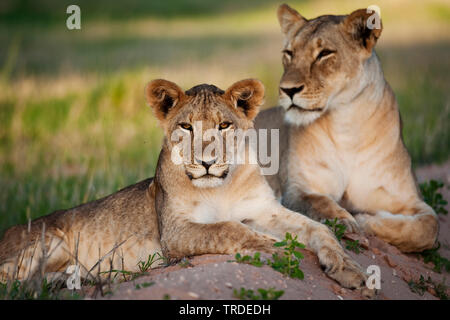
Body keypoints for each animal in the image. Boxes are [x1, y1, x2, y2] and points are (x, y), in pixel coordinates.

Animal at [0, 78, 370, 292]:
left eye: (223, 126)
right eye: (187, 127)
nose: (206, 161)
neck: (221, 187)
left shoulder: (263, 210)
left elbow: (320, 230)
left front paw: (351, 270)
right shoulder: (174, 232)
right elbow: (228, 228)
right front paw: (273, 247)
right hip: (48, 241)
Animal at [255, 3, 438, 251]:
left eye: (324, 54)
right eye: (289, 53)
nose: (287, 90)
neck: (347, 126)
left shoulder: (411, 199)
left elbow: (428, 228)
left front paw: (367, 220)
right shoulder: (298, 189)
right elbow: (321, 204)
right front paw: (349, 221)